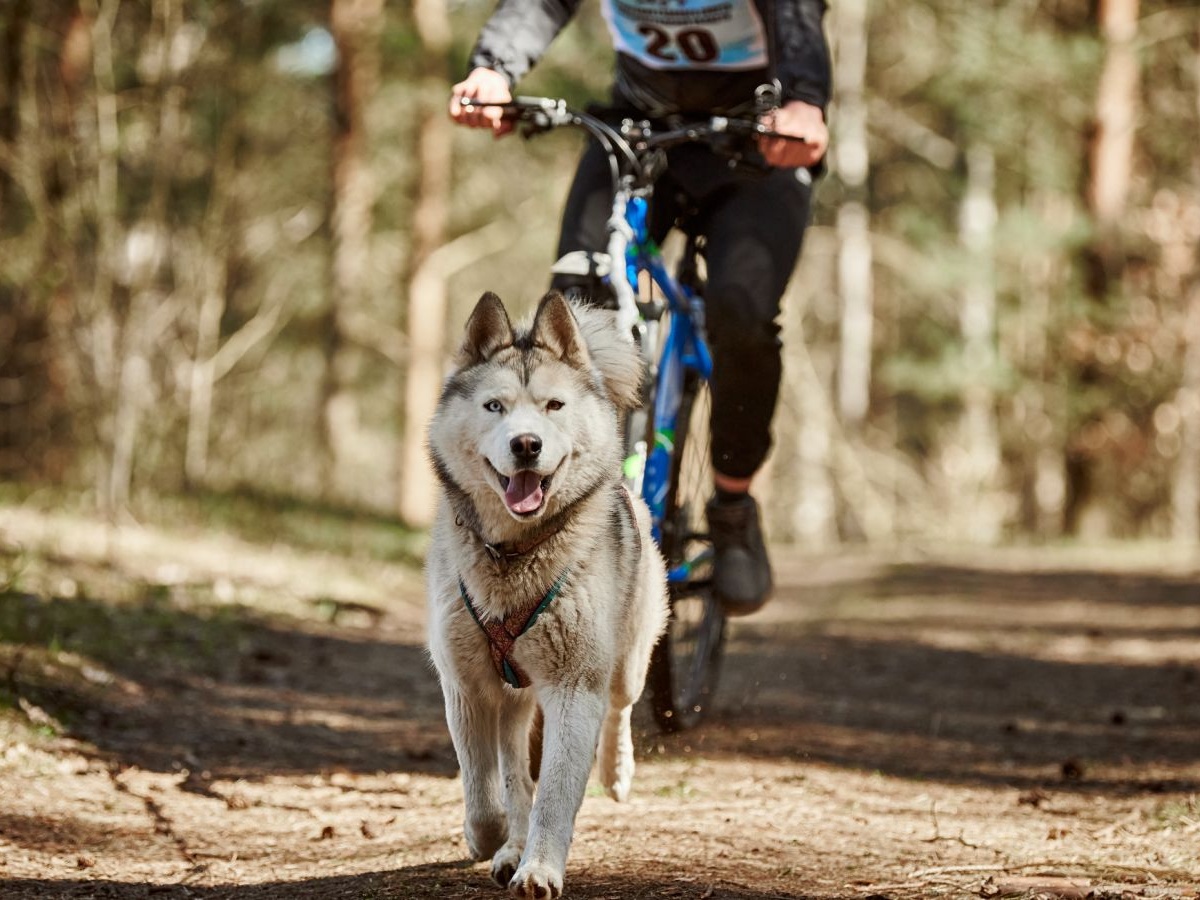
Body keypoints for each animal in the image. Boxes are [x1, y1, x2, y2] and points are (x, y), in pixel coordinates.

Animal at [424, 292, 672, 897]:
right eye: (494, 406)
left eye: (554, 405)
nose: (526, 444)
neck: (513, 556)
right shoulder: (465, 684)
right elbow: (485, 784)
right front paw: (492, 839)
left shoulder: (574, 686)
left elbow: (556, 792)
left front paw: (539, 867)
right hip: (514, 696)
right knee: (514, 766)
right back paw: (509, 843)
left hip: (627, 660)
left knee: (620, 707)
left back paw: (616, 770)